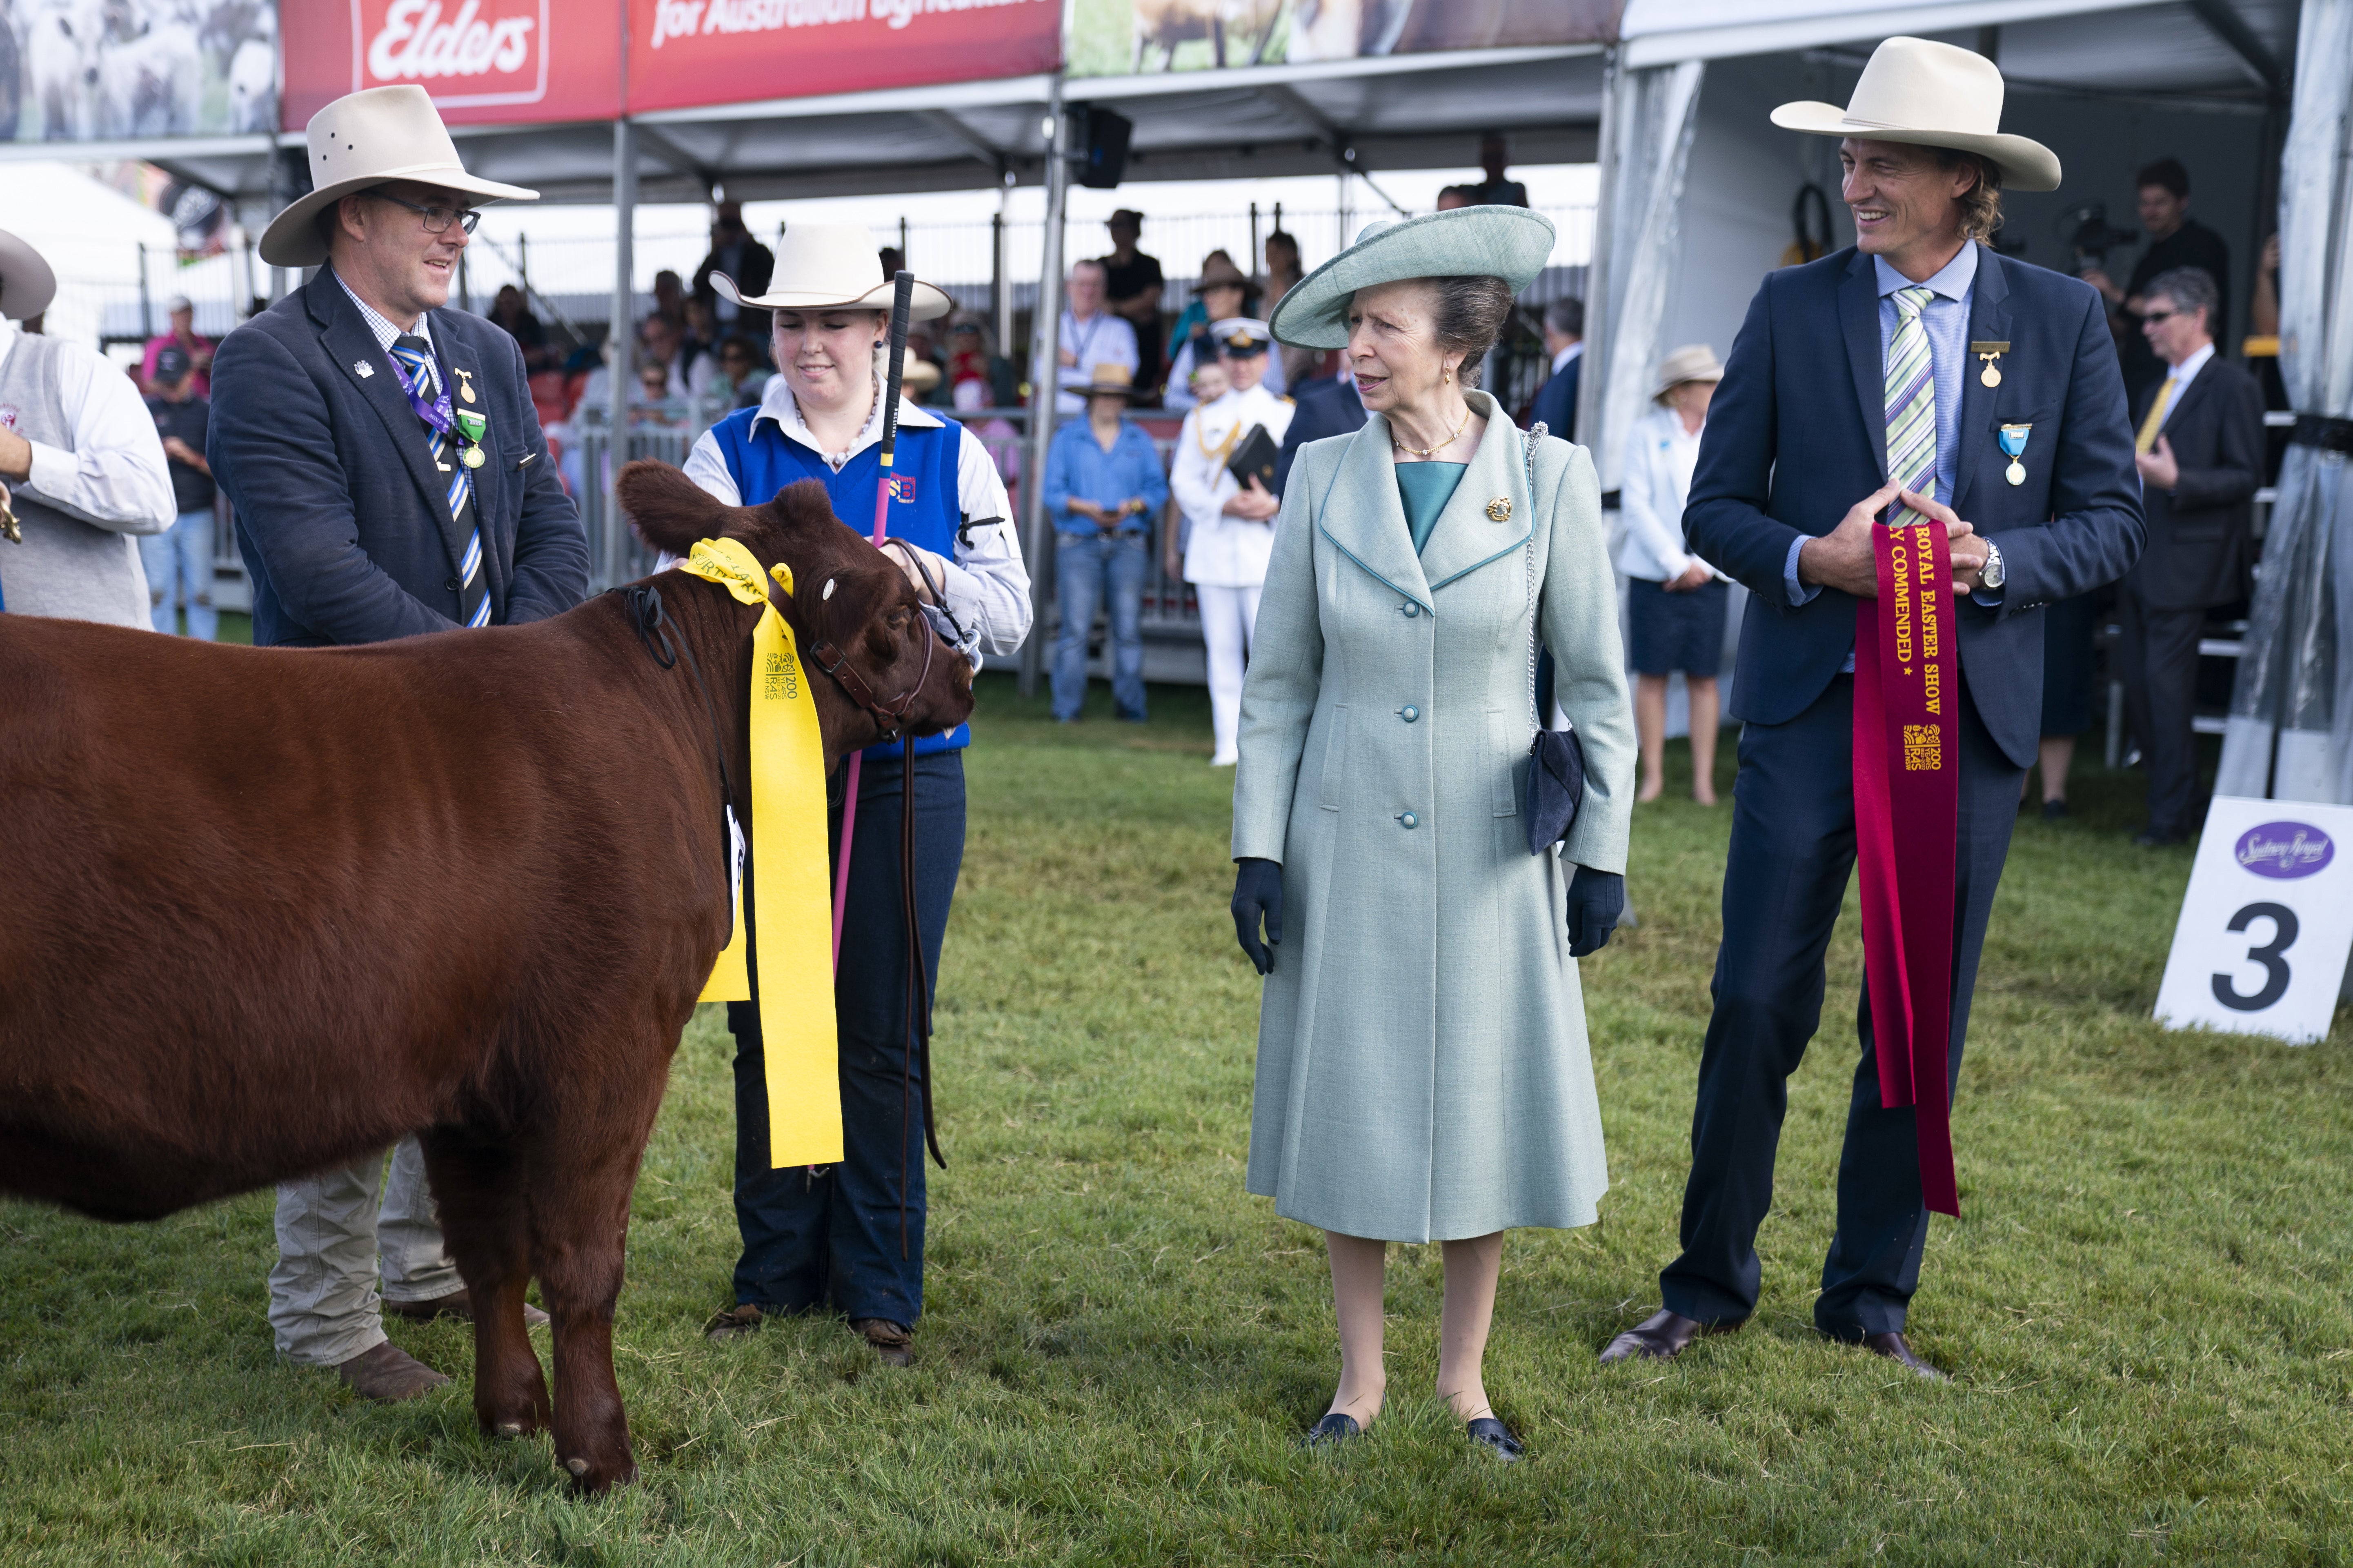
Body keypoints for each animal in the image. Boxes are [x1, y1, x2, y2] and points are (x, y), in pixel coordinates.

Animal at [0, 460, 974, 1495]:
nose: (967, 672)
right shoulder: (610, 1046)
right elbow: (584, 1260)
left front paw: (509, 1413)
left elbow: (488, 1246)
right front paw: (599, 1453)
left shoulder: (465, 1075)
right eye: (902, 611)